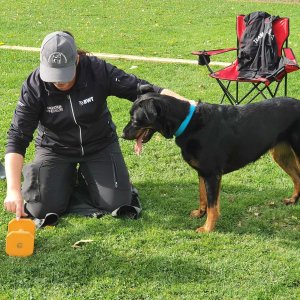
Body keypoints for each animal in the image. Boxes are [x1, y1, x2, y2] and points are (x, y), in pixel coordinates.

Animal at [122, 88, 300, 232]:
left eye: (135, 120)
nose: (122, 135)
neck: (188, 123)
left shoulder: (212, 174)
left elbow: (213, 206)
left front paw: (207, 228)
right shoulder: (203, 172)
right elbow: (203, 197)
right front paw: (200, 213)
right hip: (281, 155)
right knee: (297, 178)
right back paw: (293, 200)